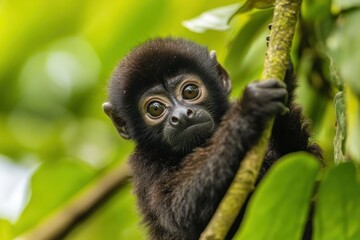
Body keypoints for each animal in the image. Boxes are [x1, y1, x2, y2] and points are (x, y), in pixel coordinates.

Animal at [102, 36, 322, 239]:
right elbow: (177, 208)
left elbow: (299, 162)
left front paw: (284, 76)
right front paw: (249, 110)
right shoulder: (144, 166)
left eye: (190, 91)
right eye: (155, 108)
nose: (181, 115)